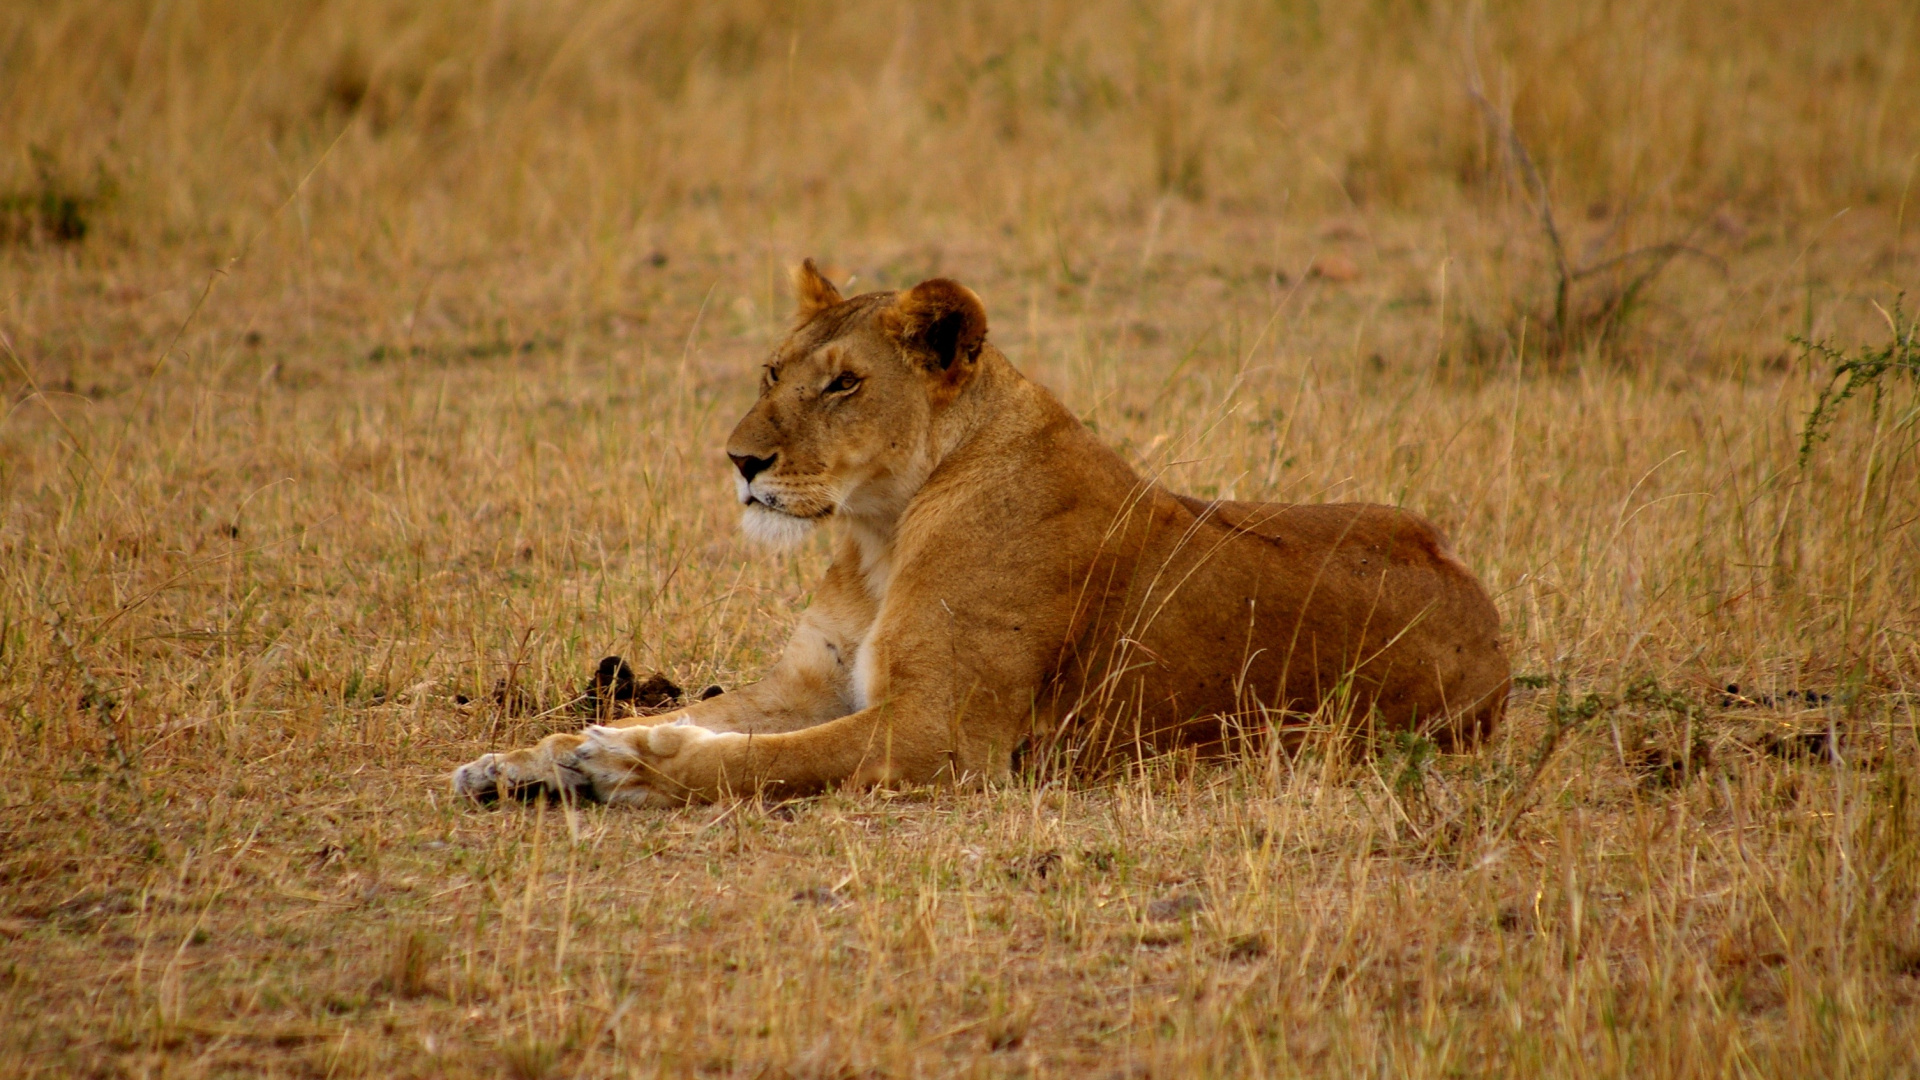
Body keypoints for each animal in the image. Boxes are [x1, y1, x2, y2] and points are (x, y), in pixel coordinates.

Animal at [451, 261, 1509, 806]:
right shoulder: (811, 684)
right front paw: (523, 761)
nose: (740, 462)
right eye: (772, 372)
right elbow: (696, 714)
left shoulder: (944, 736)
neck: (878, 533)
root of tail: (1485, 607)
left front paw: (621, 766)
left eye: (844, 384)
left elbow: (758, 759)